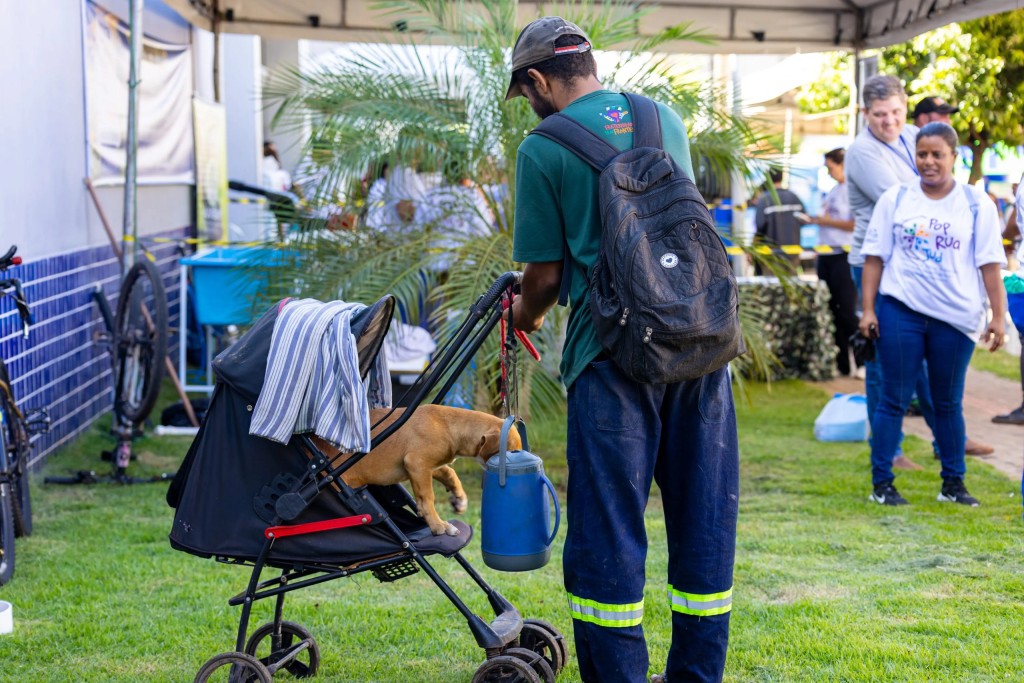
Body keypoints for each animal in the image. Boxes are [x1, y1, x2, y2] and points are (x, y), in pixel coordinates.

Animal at [312, 405, 521, 536]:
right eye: (509, 452)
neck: (448, 424)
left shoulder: (427, 466)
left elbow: (450, 473)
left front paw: (459, 498)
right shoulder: (417, 464)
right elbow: (427, 498)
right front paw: (438, 526)